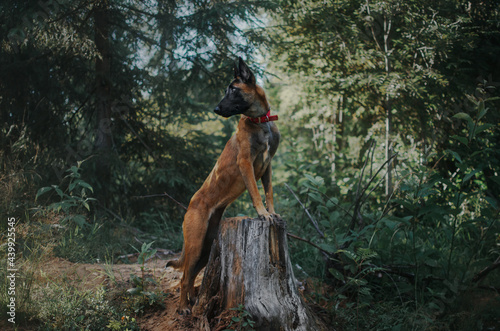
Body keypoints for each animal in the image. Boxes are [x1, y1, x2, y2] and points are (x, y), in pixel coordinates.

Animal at [166, 57, 280, 316]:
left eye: (234, 90)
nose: (216, 110)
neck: (260, 122)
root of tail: (191, 205)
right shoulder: (246, 163)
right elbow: (256, 193)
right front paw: (262, 214)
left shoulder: (268, 166)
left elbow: (268, 192)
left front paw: (272, 213)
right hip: (195, 244)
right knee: (184, 278)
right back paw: (184, 307)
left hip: (207, 248)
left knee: (191, 276)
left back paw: (193, 301)